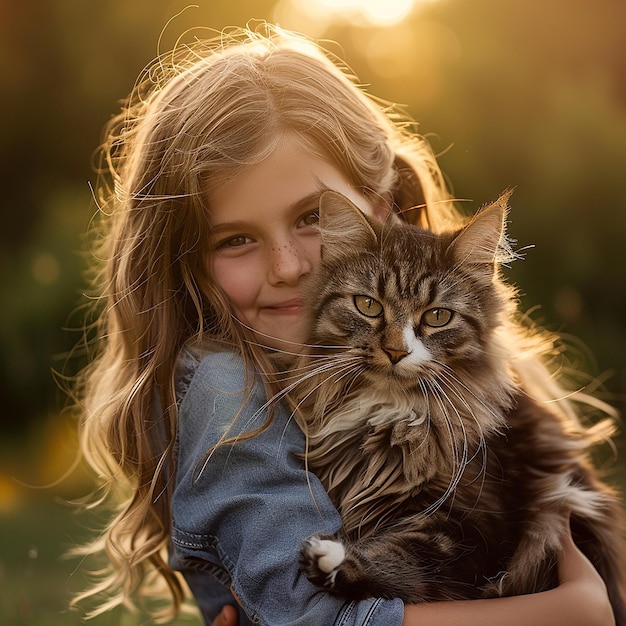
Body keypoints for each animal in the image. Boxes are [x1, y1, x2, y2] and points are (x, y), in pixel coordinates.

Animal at [290, 190, 624, 620]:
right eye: (368, 306)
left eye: (437, 316)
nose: (396, 351)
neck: (394, 412)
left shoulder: (471, 529)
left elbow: (407, 564)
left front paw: (334, 559)